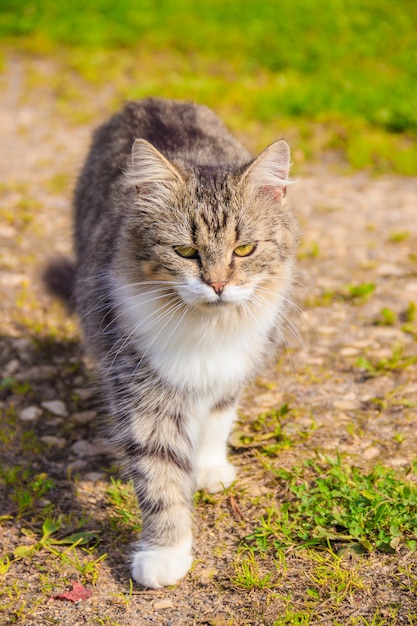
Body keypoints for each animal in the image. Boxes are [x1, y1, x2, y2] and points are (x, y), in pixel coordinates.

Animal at [44, 97, 298, 584]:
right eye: (185, 253)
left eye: (244, 250)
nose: (218, 285)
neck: (207, 332)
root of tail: (148, 100)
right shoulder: (142, 392)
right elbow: (159, 478)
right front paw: (166, 553)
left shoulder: (232, 369)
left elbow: (218, 420)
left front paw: (208, 468)